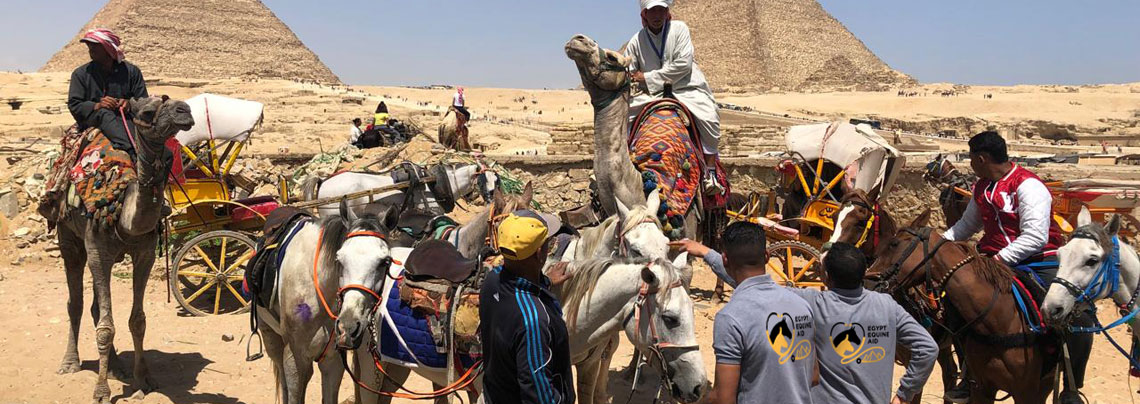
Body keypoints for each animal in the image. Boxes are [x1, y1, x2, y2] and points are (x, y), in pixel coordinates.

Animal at [52, 96, 194, 401]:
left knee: (96, 308)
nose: (185, 110)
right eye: (148, 112)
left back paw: (116, 368)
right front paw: (101, 392)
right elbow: (106, 327)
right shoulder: (97, 251)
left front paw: (144, 380)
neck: (121, 209)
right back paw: (70, 363)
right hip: (68, 237)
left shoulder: (145, 253)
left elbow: (137, 321)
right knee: (75, 302)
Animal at [257, 203, 396, 404]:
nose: (348, 326)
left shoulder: (332, 361)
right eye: (339, 259)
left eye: (385, 262)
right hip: (271, 339)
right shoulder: (294, 359)